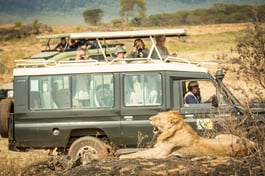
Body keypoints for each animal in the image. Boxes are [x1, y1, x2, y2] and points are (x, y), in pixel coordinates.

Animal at [118, 111, 255, 160]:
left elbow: (139, 153)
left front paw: (123, 156)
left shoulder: (160, 153)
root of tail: (250, 146)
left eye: (159, 118)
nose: (149, 118)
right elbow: (138, 151)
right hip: (219, 136)